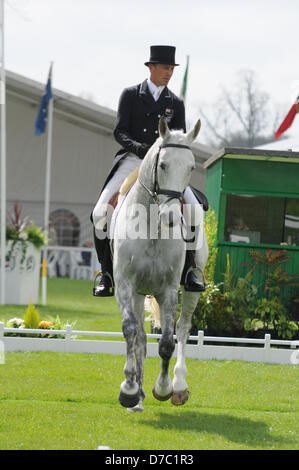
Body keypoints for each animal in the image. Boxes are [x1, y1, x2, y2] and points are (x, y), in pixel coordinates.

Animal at [112, 117, 209, 412]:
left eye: (191, 167)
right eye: (163, 164)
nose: (170, 217)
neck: (151, 225)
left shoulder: (168, 289)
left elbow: (167, 341)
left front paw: (163, 388)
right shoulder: (125, 285)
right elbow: (131, 332)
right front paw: (129, 390)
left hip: (190, 289)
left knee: (184, 328)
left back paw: (179, 385)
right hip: (137, 293)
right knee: (141, 337)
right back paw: (138, 397)